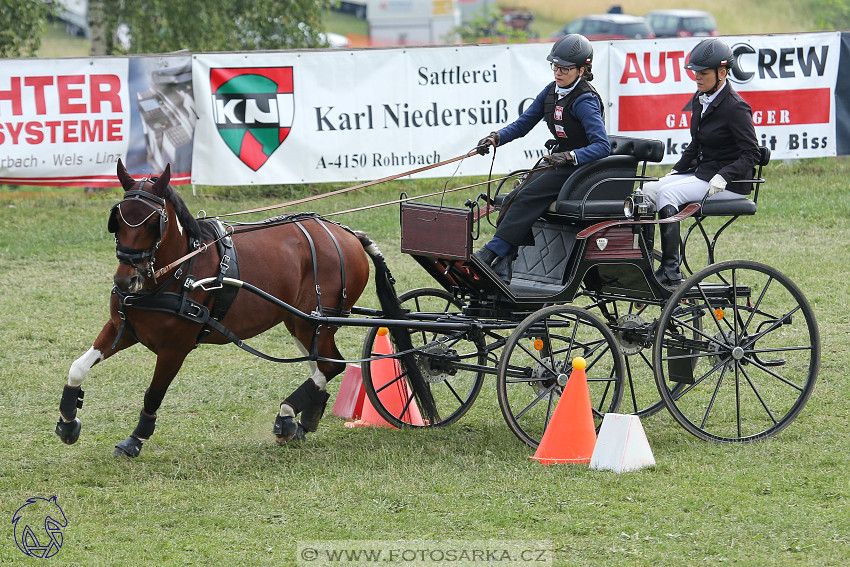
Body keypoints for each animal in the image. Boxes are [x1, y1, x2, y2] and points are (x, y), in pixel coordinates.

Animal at [56, 159, 434, 458]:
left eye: (153, 223)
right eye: (118, 220)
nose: (125, 281)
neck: (177, 272)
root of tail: (348, 234)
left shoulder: (175, 348)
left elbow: (153, 394)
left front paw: (135, 439)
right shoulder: (122, 329)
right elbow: (77, 367)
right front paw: (68, 420)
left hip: (317, 321)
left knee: (331, 364)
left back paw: (288, 414)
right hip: (301, 322)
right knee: (323, 365)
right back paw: (302, 420)